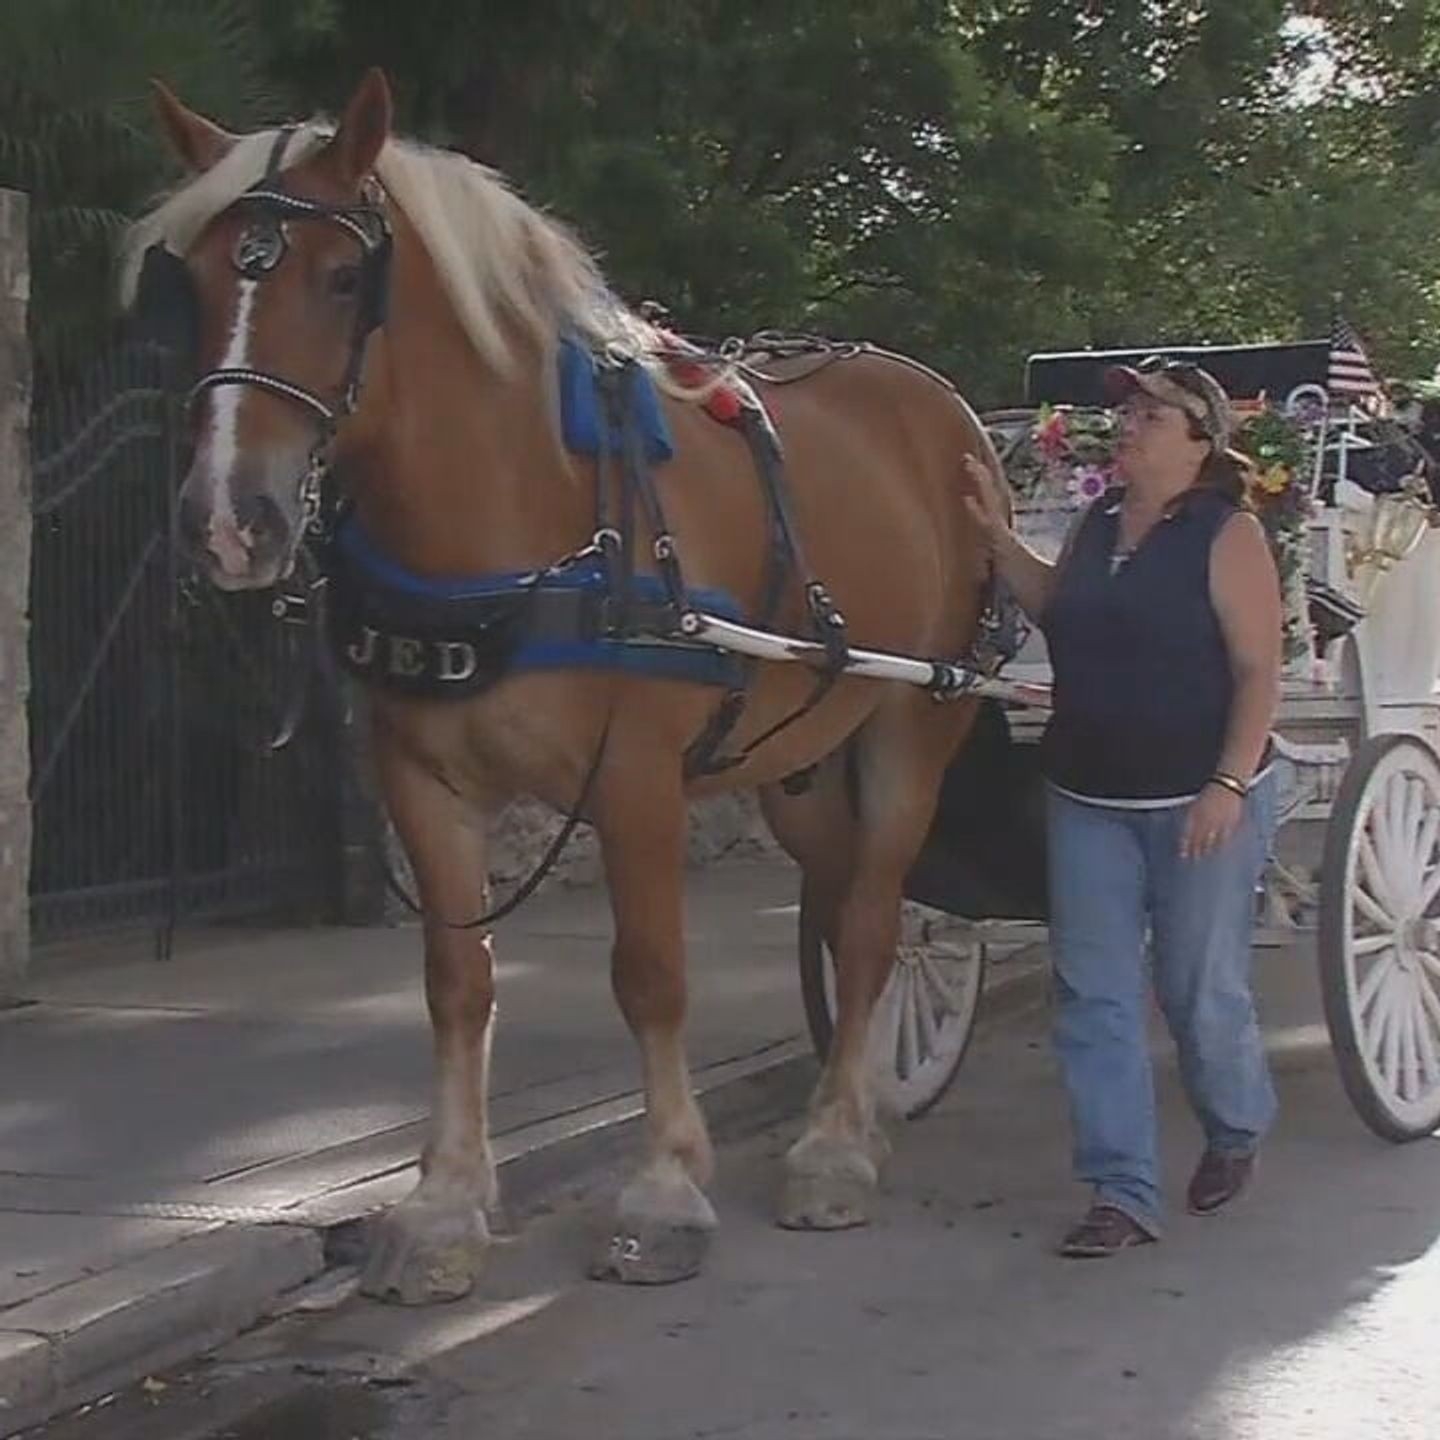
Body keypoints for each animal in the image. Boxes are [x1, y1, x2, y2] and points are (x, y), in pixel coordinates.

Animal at [129, 67, 998, 1301]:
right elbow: (457, 979)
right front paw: (443, 1207)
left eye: (344, 280)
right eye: (196, 283)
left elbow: (650, 974)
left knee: (880, 919)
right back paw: (865, 1102)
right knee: (840, 908)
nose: (226, 519)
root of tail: (945, 406)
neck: (516, 506)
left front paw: (665, 1188)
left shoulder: (636, 780)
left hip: (915, 725)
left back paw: (832, 1146)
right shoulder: (421, 780)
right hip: (796, 754)